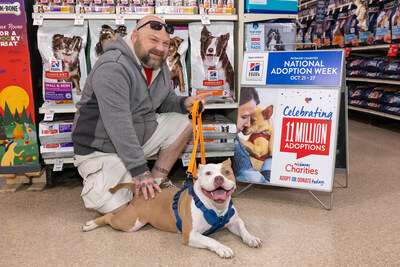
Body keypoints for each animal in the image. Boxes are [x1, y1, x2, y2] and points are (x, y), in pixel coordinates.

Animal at [83, 159, 260, 260]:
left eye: (227, 172)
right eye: (208, 173)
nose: (218, 178)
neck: (216, 208)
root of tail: (138, 190)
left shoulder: (235, 222)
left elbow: (243, 229)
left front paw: (251, 238)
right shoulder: (190, 235)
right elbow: (211, 240)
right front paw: (222, 248)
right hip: (130, 223)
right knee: (109, 217)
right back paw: (91, 224)